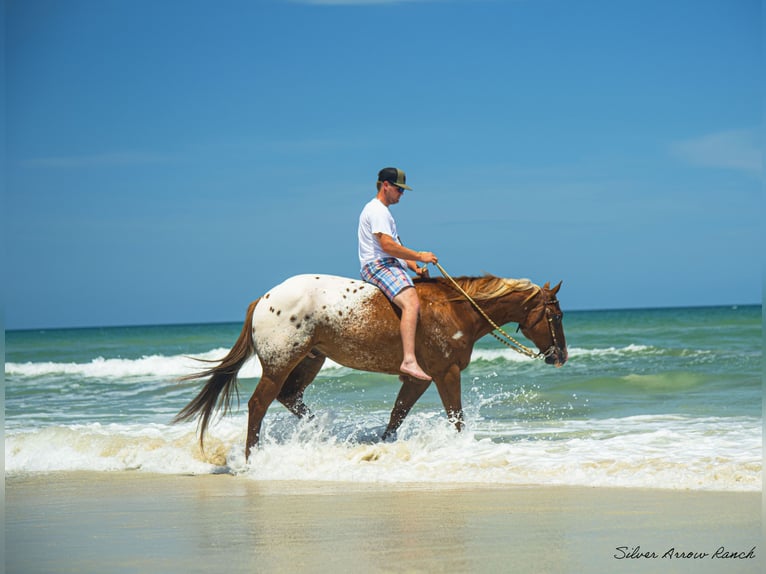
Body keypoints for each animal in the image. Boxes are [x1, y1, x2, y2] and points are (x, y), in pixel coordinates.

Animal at [176, 272, 568, 462]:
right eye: (557, 315)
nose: (560, 356)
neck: (457, 310)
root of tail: (264, 298)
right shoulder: (445, 373)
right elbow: (456, 419)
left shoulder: (419, 379)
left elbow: (397, 415)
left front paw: (381, 446)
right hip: (280, 363)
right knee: (259, 404)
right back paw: (252, 458)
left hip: (311, 360)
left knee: (291, 398)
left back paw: (322, 433)